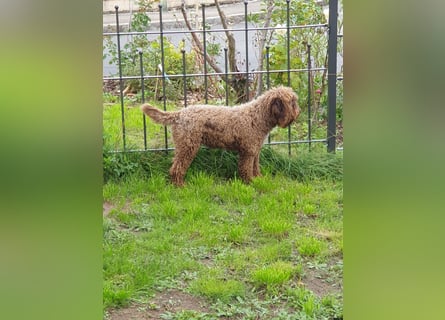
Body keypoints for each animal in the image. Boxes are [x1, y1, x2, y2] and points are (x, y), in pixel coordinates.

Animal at [140, 86, 300, 186]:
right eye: (292, 103)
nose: (299, 112)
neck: (258, 116)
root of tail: (179, 114)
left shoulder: (255, 151)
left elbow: (255, 167)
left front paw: (258, 179)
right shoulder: (248, 152)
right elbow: (246, 169)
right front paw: (249, 182)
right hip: (188, 147)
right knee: (177, 168)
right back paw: (179, 185)